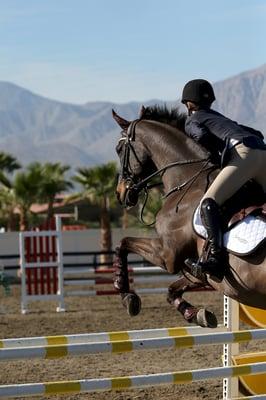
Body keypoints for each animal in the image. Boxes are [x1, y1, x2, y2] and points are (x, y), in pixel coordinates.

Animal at [112, 104, 266, 326]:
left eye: (119, 150)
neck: (187, 178)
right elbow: (172, 290)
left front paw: (126, 295)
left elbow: (123, 243)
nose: (120, 193)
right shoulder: (199, 273)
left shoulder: (168, 254)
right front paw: (196, 314)